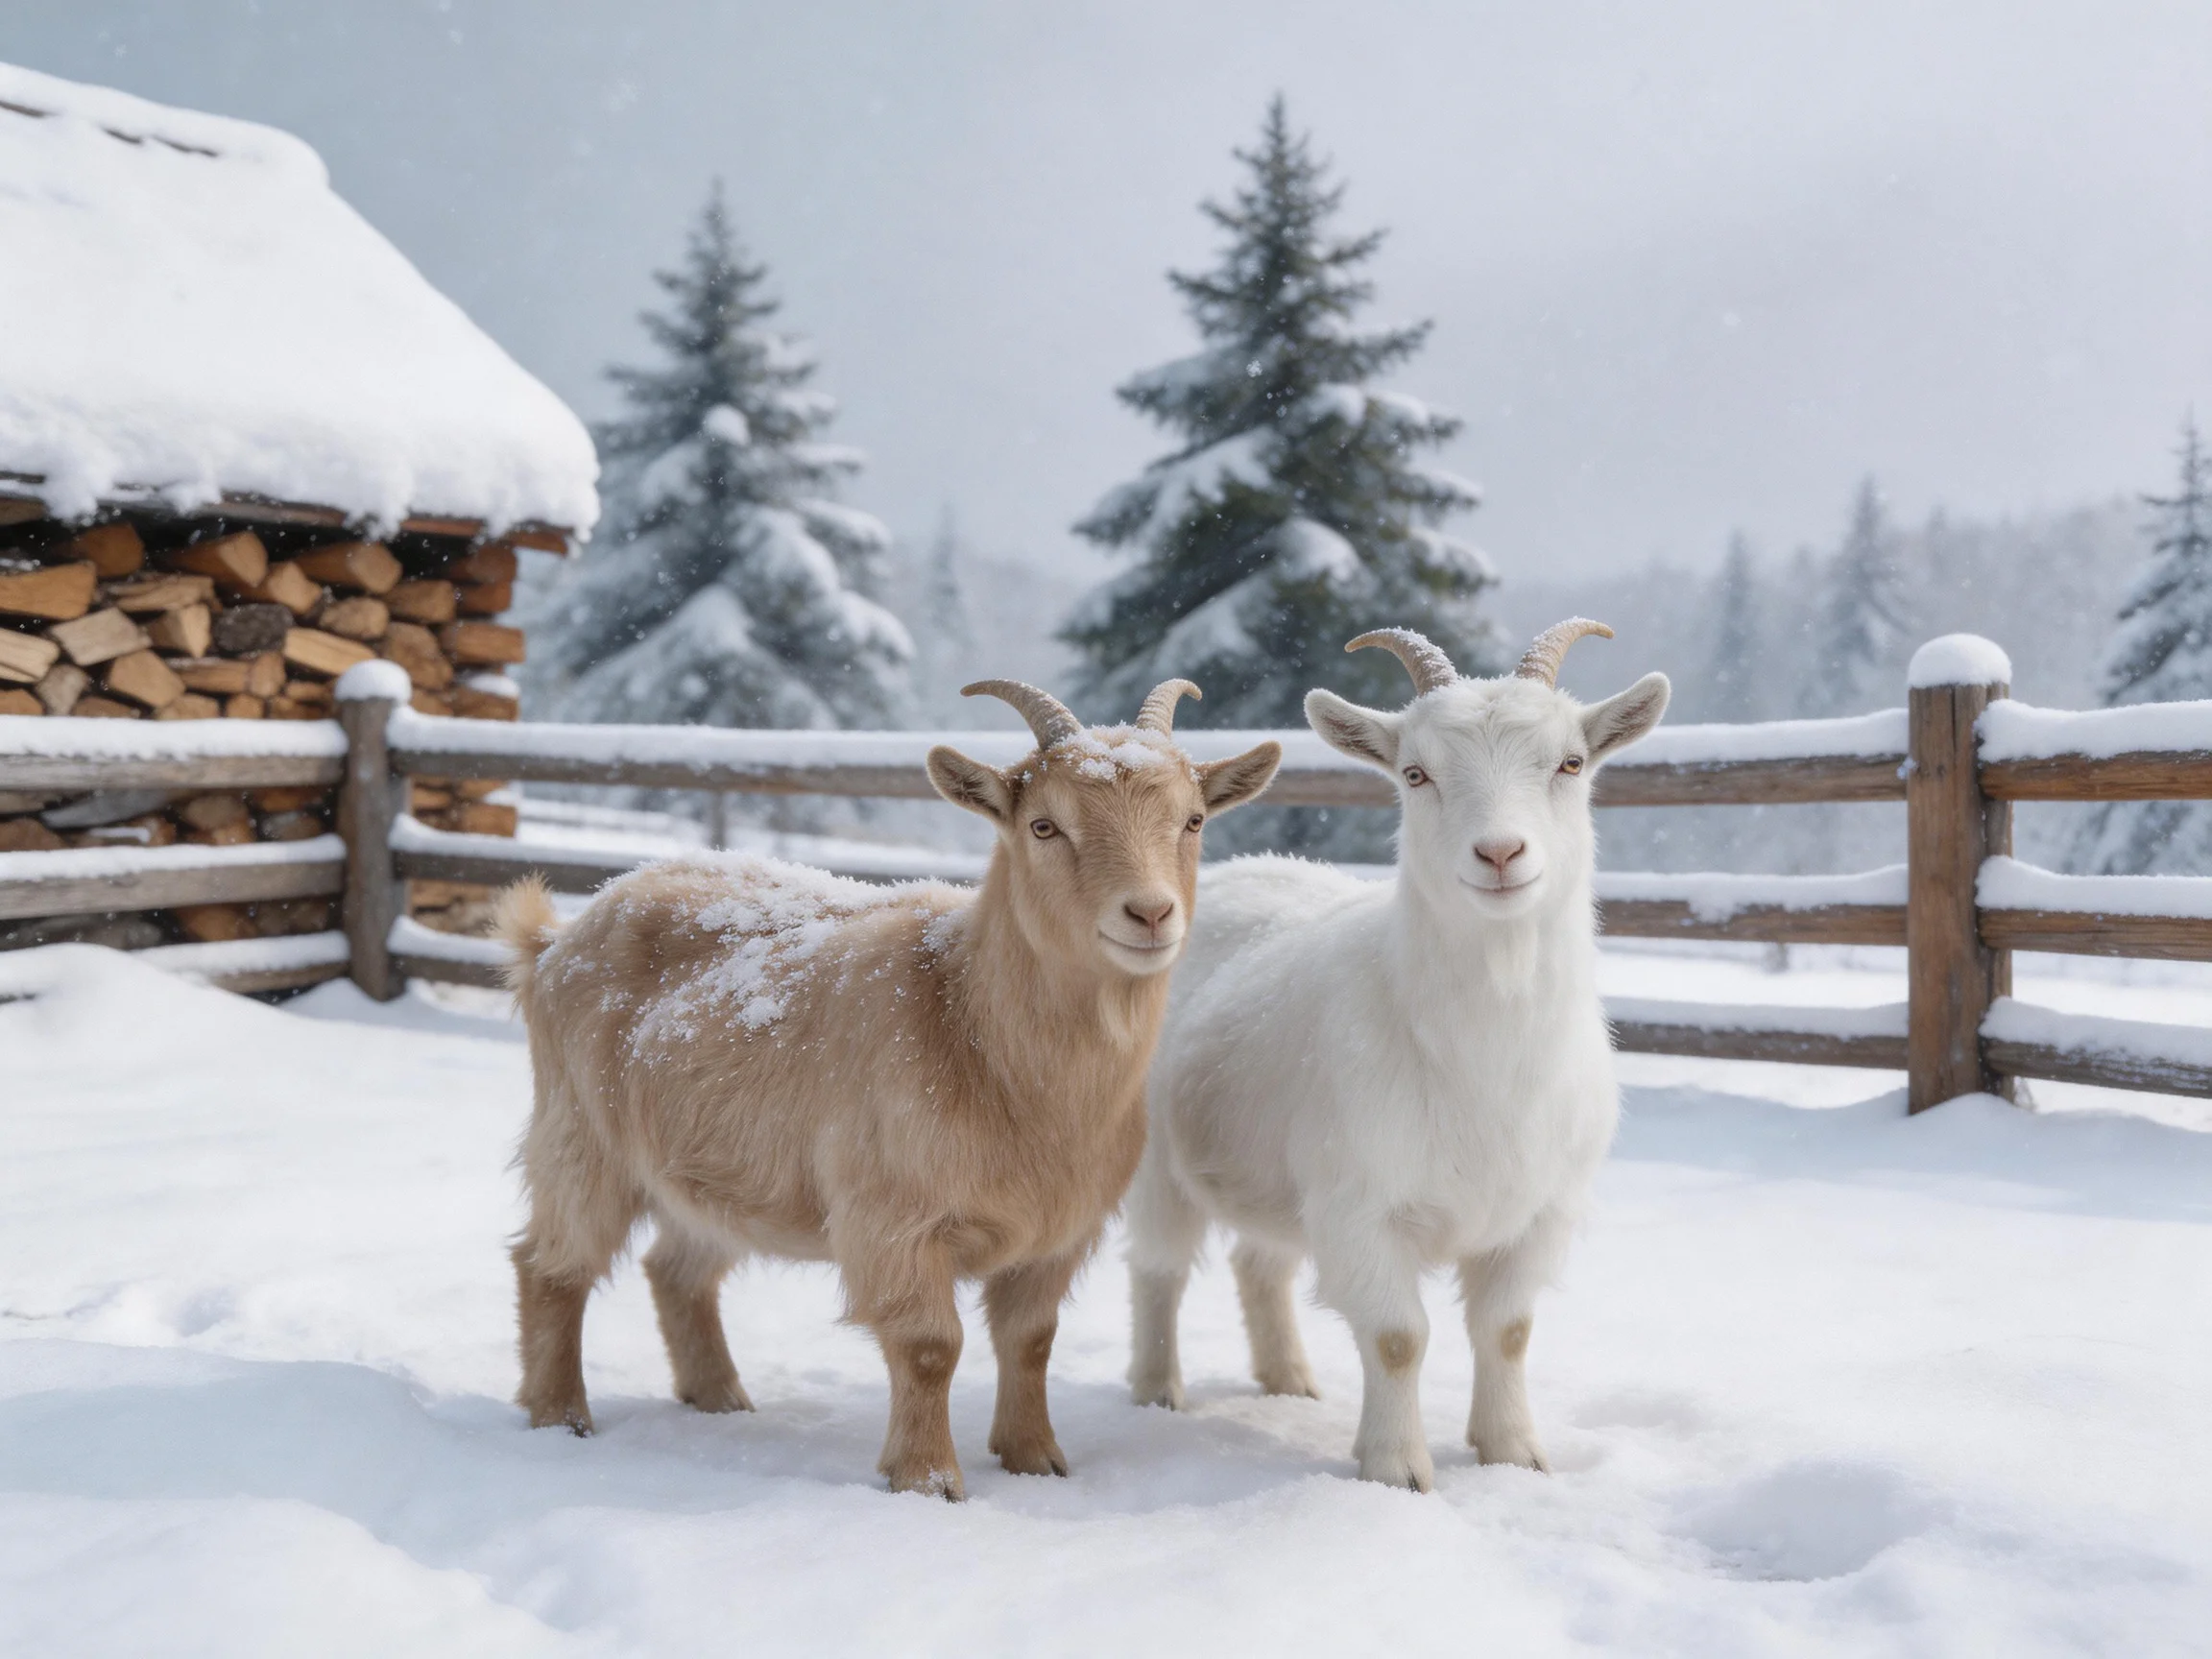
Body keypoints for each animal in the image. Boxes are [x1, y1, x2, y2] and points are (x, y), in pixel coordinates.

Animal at [498, 680, 1281, 1498]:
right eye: (1044, 824)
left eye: (1193, 820)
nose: (1150, 913)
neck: (970, 1022)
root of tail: (554, 941)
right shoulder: (895, 1217)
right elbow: (931, 1346)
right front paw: (929, 1480)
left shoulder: (1059, 1231)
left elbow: (1031, 1339)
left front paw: (1036, 1459)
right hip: (581, 1134)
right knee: (552, 1266)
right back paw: (561, 1416)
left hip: (712, 1170)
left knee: (676, 1270)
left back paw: (719, 1399)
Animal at [1123, 620, 1668, 1490]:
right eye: (1416, 772)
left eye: (1571, 762)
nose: (1501, 854)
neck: (1483, 1063)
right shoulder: (1360, 1208)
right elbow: (1398, 1338)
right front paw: (1396, 1469)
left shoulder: (1539, 1213)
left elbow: (1508, 1330)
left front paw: (1513, 1453)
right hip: (1159, 1161)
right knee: (1159, 1268)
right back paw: (1156, 1392)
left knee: (1260, 1264)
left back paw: (1289, 1381)